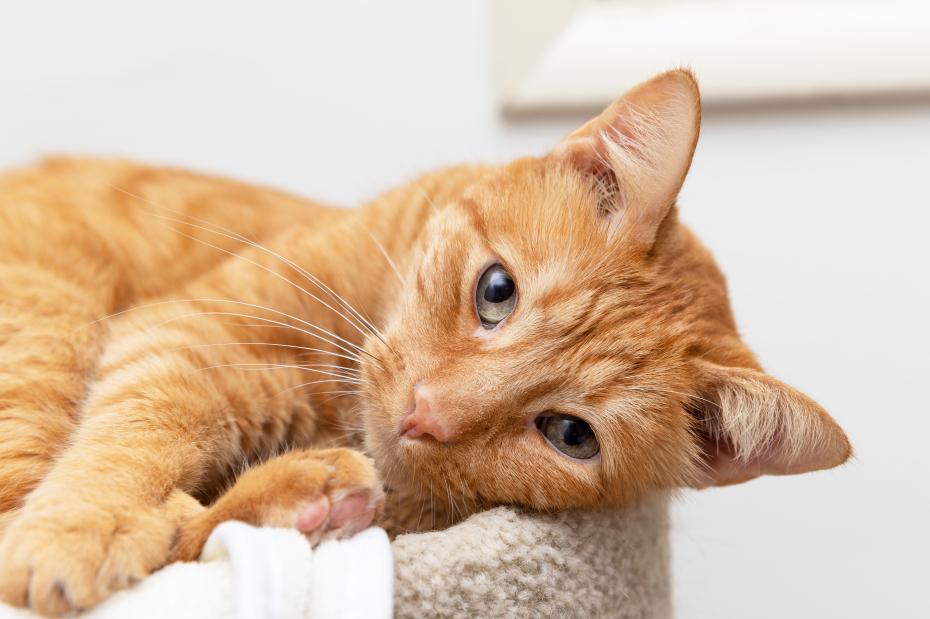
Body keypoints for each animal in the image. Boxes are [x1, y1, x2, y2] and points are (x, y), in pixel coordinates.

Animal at [0, 71, 848, 616]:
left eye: (570, 434)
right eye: (496, 291)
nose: (426, 412)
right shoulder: (191, 328)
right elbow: (143, 429)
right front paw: (82, 529)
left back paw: (309, 498)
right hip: (50, 325)